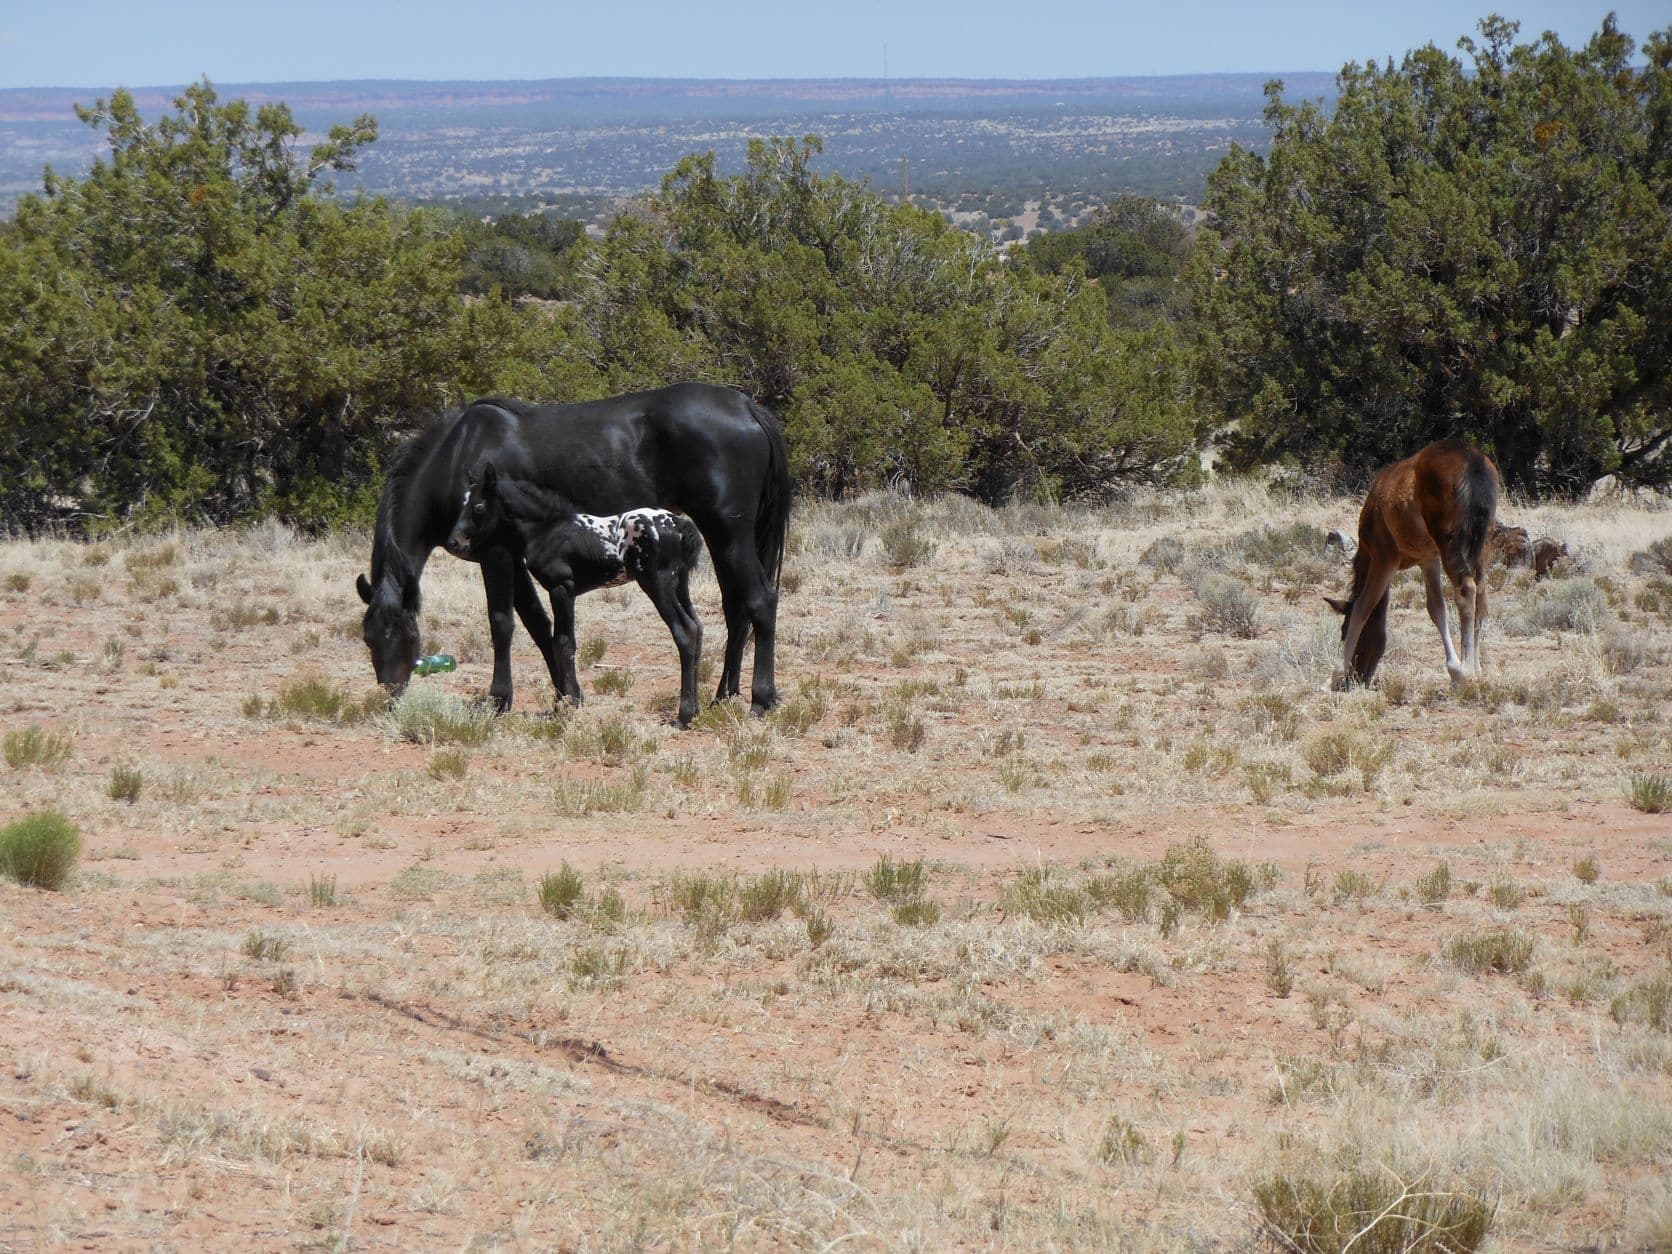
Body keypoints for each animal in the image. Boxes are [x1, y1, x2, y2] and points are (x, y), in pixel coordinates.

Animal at [448, 462, 706, 726]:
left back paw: (684, 716)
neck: (547, 529)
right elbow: (557, 640)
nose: (455, 542)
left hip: (657, 582)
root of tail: (679, 524)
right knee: (697, 628)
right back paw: (695, 711)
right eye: (464, 503)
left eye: (478, 506)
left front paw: (569, 703)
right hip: (680, 584)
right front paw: (565, 701)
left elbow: (563, 642)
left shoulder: (562, 588)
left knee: (685, 631)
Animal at [1324, 439, 1500, 690]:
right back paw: (1476, 668)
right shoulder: (1428, 560)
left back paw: (1467, 672)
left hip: (1450, 542)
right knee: (1482, 593)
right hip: (1483, 542)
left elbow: (1363, 606)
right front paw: (1453, 668)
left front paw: (1334, 675)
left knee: (1466, 589)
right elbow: (1436, 608)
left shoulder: (1384, 557)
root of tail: (1474, 460)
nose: (1356, 679)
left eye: (1343, 631)